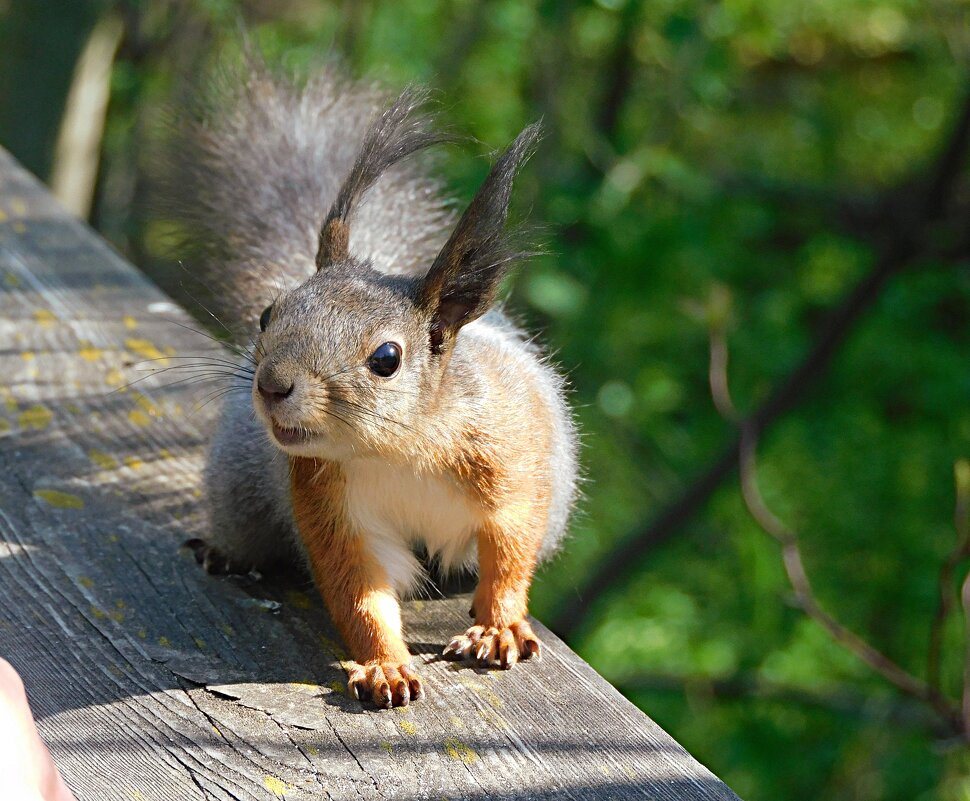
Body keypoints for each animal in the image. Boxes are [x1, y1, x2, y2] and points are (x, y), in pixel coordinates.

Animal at [169, 55, 579, 708]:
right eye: (267, 315)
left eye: (386, 358)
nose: (272, 385)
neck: (399, 448)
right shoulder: (332, 506)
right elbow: (359, 592)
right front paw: (385, 665)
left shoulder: (510, 461)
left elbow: (511, 548)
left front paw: (498, 625)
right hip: (242, 492)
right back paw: (225, 554)